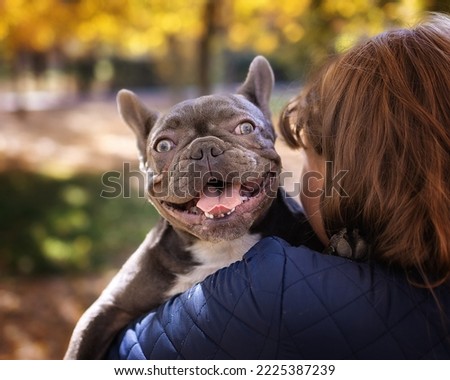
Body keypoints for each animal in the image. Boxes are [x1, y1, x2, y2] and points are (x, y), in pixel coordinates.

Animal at [65, 55, 322, 360]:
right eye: (163, 145)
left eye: (246, 128)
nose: (204, 148)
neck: (223, 248)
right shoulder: (107, 309)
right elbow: (78, 350)